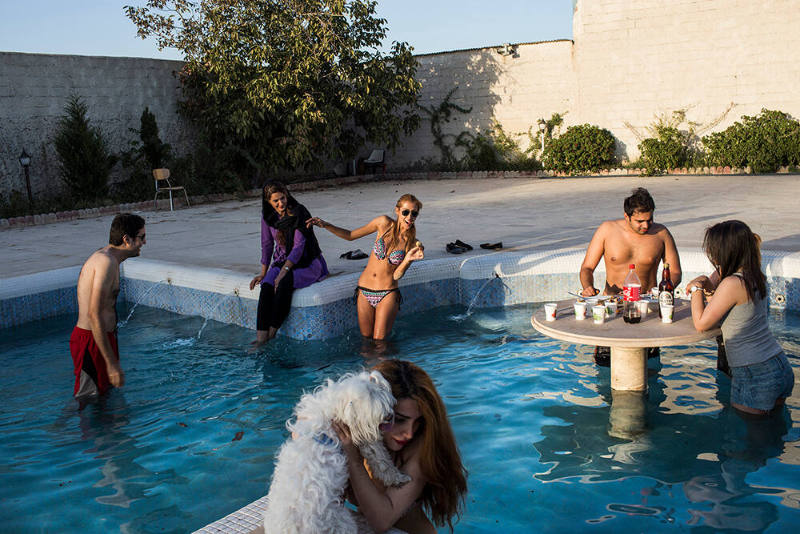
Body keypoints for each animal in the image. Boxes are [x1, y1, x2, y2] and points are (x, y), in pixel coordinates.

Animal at [264, 372, 412, 534]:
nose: (389, 416)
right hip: (340, 521)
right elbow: (381, 460)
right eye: (374, 401)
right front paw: (399, 478)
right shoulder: (363, 433)